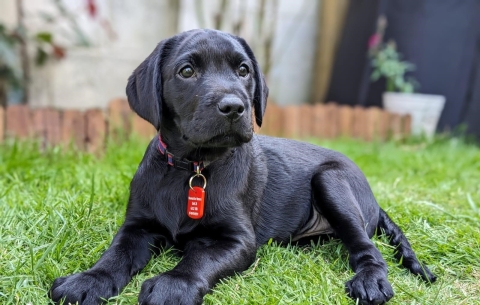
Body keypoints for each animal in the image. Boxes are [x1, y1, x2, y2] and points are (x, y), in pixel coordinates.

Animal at [49, 29, 436, 304]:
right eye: (186, 71)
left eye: (243, 70)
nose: (235, 107)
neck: (193, 167)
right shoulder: (137, 226)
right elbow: (115, 255)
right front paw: (87, 281)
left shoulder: (238, 241)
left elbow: (200, 259)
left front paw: (174, 285)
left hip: (332, 180)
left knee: (367, 248)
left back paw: (371, 281)